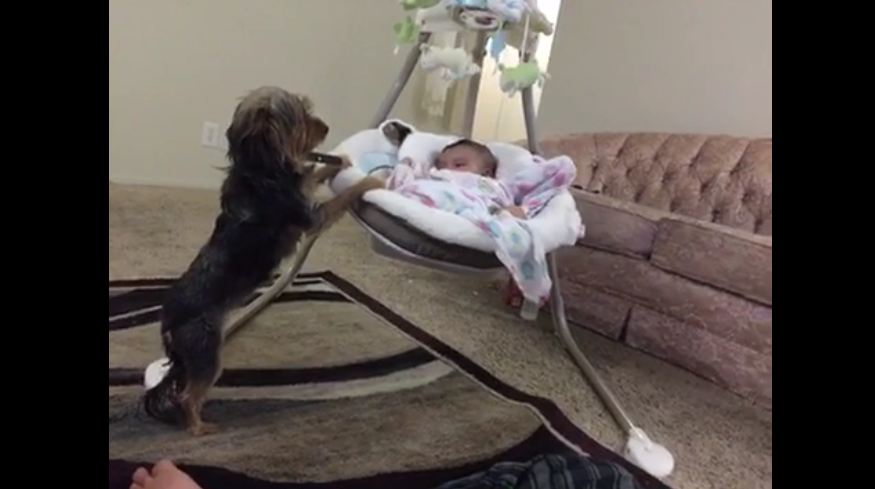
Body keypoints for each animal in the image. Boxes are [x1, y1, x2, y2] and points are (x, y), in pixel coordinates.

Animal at [144, 86, 384, 434]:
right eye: (301, 116)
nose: (326, 127)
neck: (262, 168)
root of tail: (168, 322)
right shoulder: (312, 217)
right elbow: (343, 196)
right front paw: (372, 182)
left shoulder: (302, 187)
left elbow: (314, 174)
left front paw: (338, 163)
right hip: (207, 351)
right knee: (188, 395)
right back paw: (199, 427)